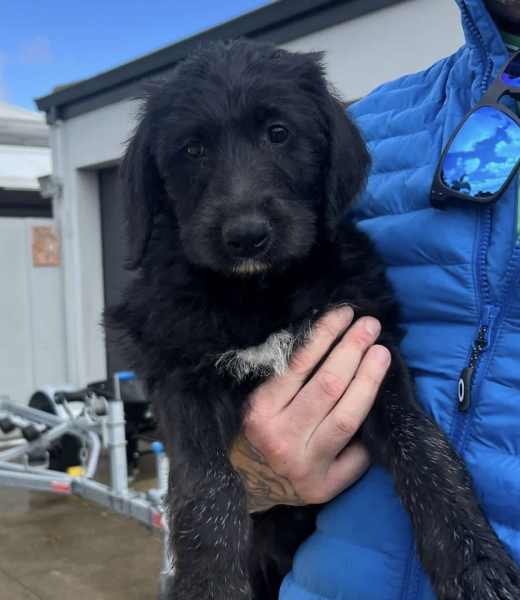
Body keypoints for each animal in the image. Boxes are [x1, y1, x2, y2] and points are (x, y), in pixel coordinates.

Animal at [107, 39, 520, 596]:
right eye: (192, 150)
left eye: (279, 133)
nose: (246, 235)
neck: (262, 290)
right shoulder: (180, 374)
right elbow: (208, 485)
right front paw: (209, 584)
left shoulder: (371, 346)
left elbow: (425, 445)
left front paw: (475, 561)